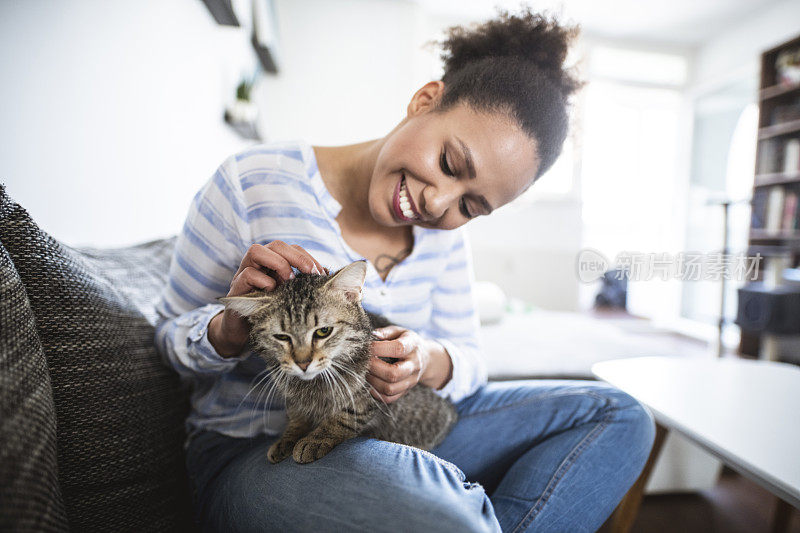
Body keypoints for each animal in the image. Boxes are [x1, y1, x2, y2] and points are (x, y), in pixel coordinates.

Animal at [219, 260, 460, 464]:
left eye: (323, 331)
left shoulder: (371, 395)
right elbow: (297, 416)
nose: (303, 363)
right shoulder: (292, 396)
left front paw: (316, 439)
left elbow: (346, 417)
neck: (313, 385)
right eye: (282, 337)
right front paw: (288, 438)